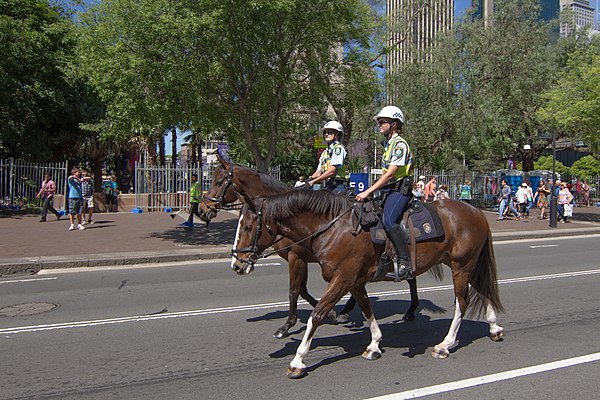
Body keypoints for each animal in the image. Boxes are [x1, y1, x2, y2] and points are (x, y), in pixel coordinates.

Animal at [199, 155, 420, 338]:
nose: (201, 210)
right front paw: (330, 313)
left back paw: (409, 310)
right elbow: (302, 290)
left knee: (409, 277)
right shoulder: (301, 258)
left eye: (218, 182)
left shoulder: (296, 257)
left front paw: (288, 325)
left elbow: (295, 290)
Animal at [232, 191, 504, 378]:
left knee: (462, 302)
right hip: (464, 265)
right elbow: (366, 309)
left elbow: (316, 315)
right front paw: (374, 344)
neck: (334, 228)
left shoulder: (342, 279)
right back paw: (494, 328)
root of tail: (477, 212)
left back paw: (445, 344)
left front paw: (298, 360)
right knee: (483, 289)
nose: (237, 263)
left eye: (248, 226)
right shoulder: (354, 281)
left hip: (461, 266)